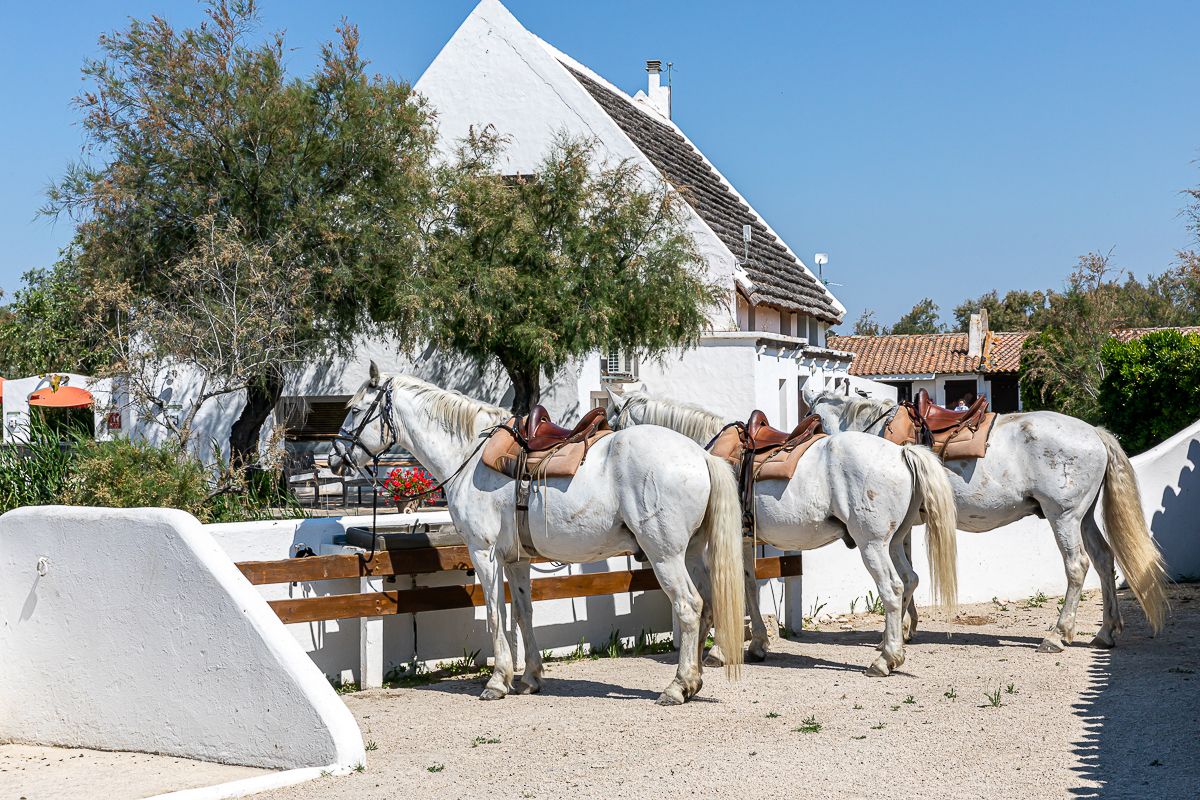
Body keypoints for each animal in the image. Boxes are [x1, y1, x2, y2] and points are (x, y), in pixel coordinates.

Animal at [328, 364, 745, 705]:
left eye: (354, 409)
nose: (334, 458)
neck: (468, 455)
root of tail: (700, 455)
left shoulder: (483, 553)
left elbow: (495, 613)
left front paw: (498, 681)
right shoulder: (516, 560)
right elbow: (523, 612)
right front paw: (529, 677)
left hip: (664, 555)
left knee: (689, 606)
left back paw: (677, 686)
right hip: (691, 552)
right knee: (707, 604)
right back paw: (694, 680)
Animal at [607, 389, 959, 677]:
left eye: (612, 424)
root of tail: (901, 453)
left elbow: (725, 587)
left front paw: (719, 651)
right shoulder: (743, 539)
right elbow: (748, 585)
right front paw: (757, 645)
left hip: (872, 544)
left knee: (892, 589)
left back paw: (885, 659)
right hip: (894, 541)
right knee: (909, 579)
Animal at [803, 386, 1168, 652]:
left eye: (808, 421)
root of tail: (1094, 432)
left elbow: (904, 578)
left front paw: (895, 634)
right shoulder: (902, 529)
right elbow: (908, 576)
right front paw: (906, 629)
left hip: (1063, 516)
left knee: (1078, 565)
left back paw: (1058, 634)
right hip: (1083, 517)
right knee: (1105, 560)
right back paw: (1105, 632)